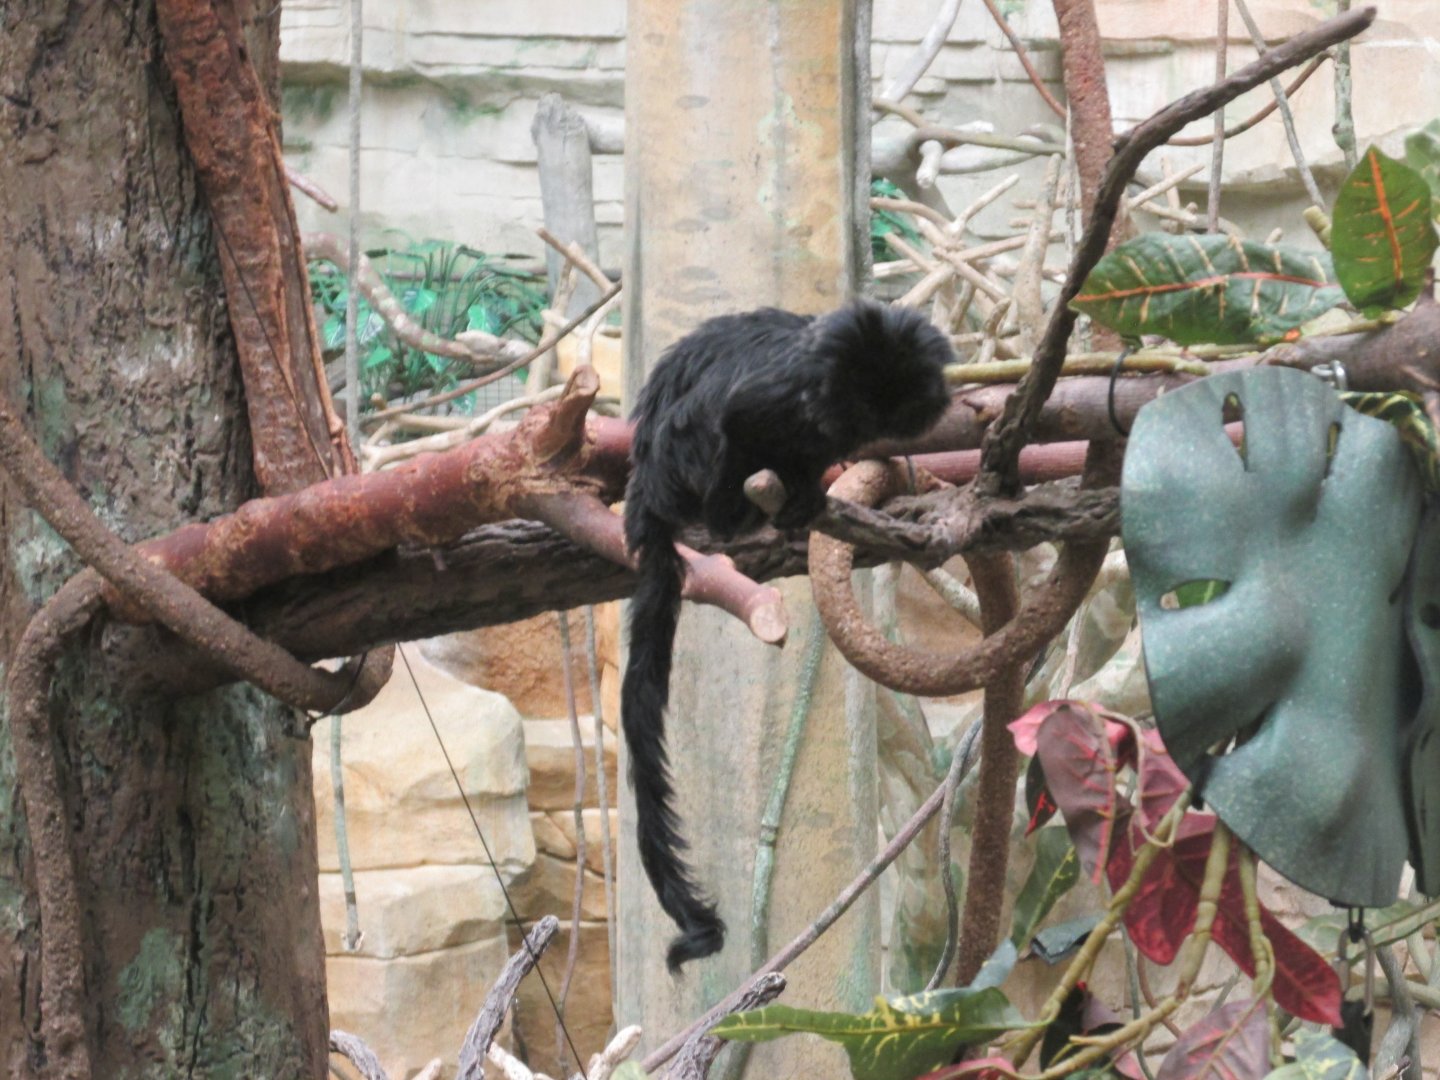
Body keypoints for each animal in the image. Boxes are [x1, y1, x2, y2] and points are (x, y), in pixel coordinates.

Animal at [622, 299, 955, 971]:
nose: (861, 426)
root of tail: (648, 491)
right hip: (682, 458)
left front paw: (809, 492)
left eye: (887, 407)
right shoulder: (782, 394)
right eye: (861, 401)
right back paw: (736, 513)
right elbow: (738, 413)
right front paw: (763, 503)